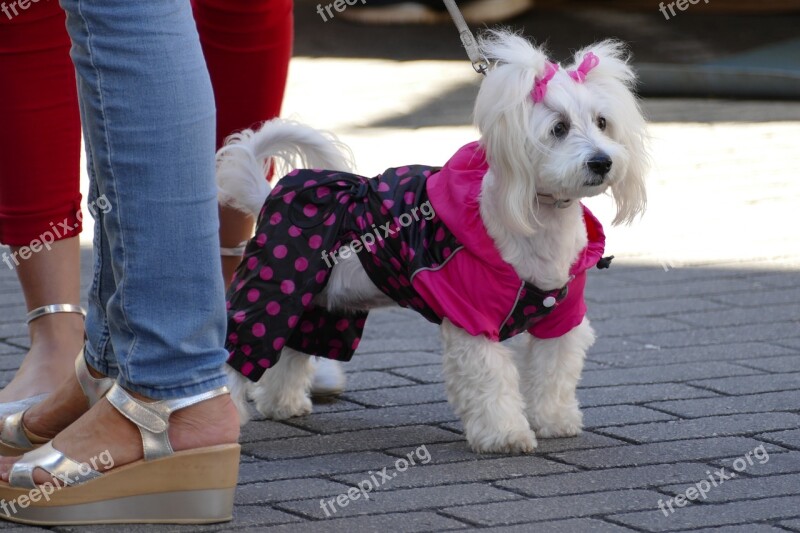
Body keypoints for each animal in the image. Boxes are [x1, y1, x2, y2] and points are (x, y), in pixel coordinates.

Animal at [219, 30, 648, 454]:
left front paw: (555, 421)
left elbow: (554, 373)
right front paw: (506, 435)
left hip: (318, 307)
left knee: (291, 352)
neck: (538, 221)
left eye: (602, 122)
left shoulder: (562, 318)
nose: (602, 161)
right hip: (274, 287)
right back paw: (223, 420)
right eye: (558, 128)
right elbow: (491, 382)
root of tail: (268, 195)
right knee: (237, 349)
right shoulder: (471, 319)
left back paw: (282, 403)